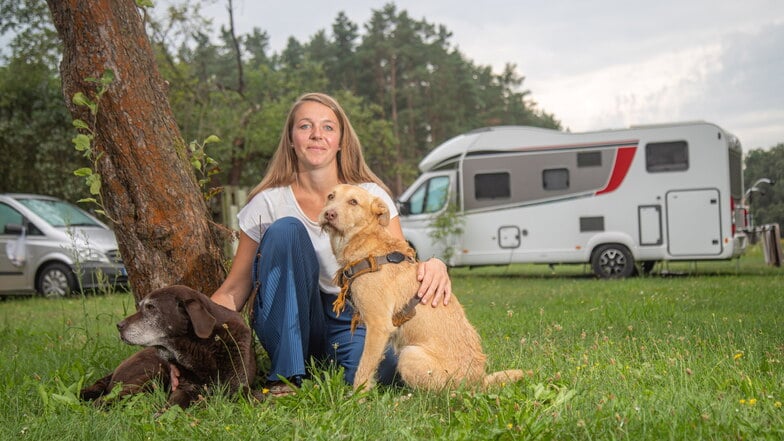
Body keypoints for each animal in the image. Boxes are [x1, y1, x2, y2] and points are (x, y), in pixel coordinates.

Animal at [81, 286, 256, 410]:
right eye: (141, 306)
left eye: (151, 308)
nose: (119, 326)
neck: (200, 348)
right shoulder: (184, 388)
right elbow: (175, 402)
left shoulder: (240, 389)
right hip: (150, 375)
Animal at [318, 184, 520, 390]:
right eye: (330, 196)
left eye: (353, 202)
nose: (328, 214)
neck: (366, 244)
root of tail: (479, 381)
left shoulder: (378, 326)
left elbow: (363, 370)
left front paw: (357, 396)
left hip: (409, 355)